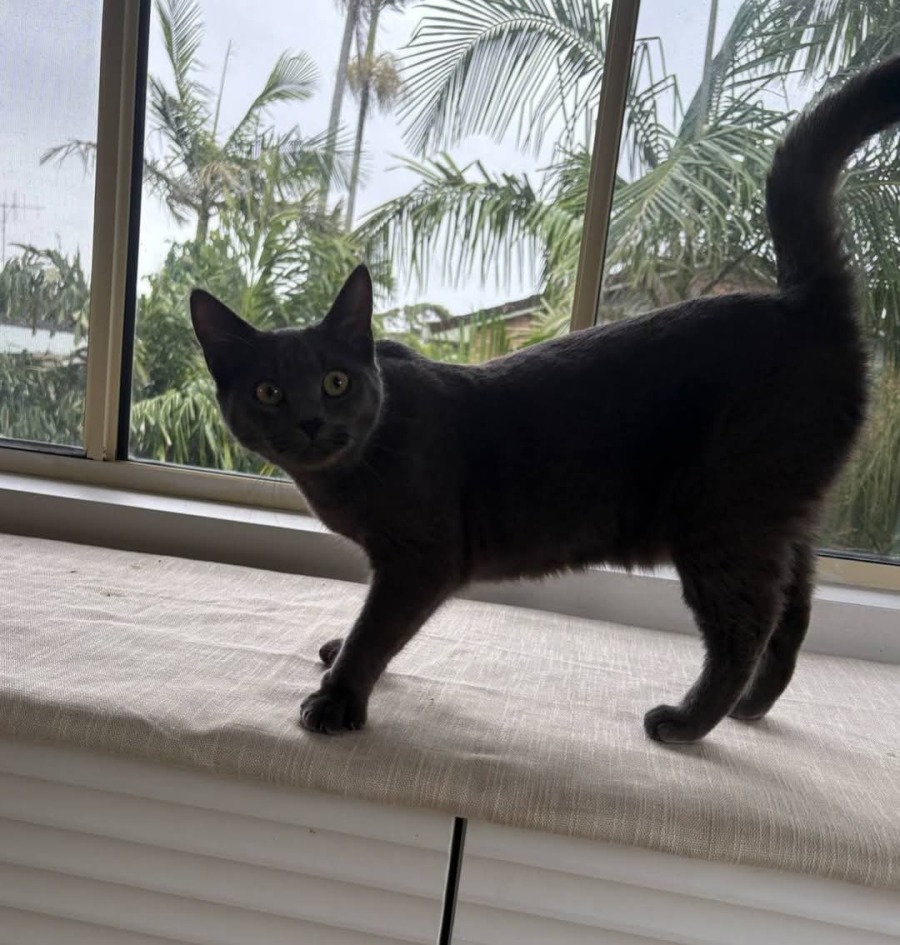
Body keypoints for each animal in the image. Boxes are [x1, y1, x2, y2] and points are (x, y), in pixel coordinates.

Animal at [191, 57, 900, 743]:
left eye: (336, 382)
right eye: (268, 391)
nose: (311, 421)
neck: (357, 461)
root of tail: (802, 299)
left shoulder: (420, 559)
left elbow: (377, 630)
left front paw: (338, 697)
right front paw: (340, 662)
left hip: (724, 513)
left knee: (745, 626)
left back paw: (686, 721)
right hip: (779, 510)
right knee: (793, 612)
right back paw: (750, 708)